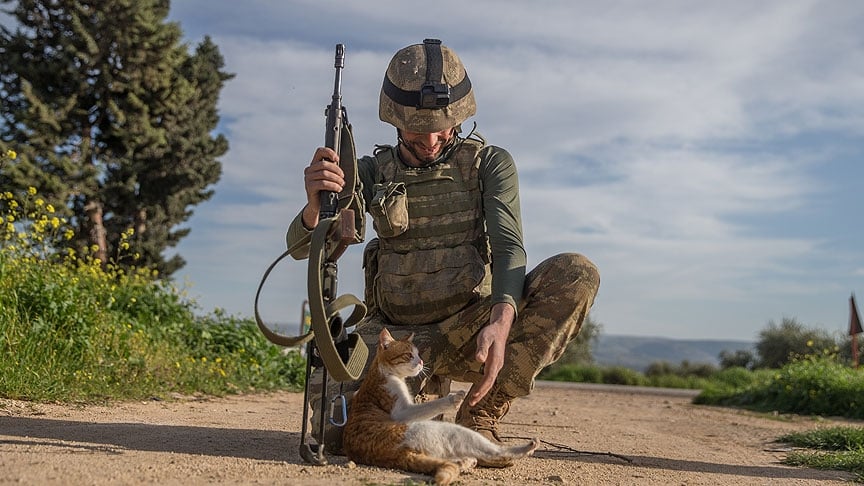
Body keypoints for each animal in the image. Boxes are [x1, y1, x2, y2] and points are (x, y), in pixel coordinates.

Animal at [340, 328, 536, 484]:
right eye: (409, 355)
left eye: (418, 355)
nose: (420, 362)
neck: (382, 372)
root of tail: (396, 456)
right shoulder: (403, 412)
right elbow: (432, 405)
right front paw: (454, 398)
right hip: (448, 431)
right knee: (496, 451)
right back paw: (525, 448)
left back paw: (465, 461)